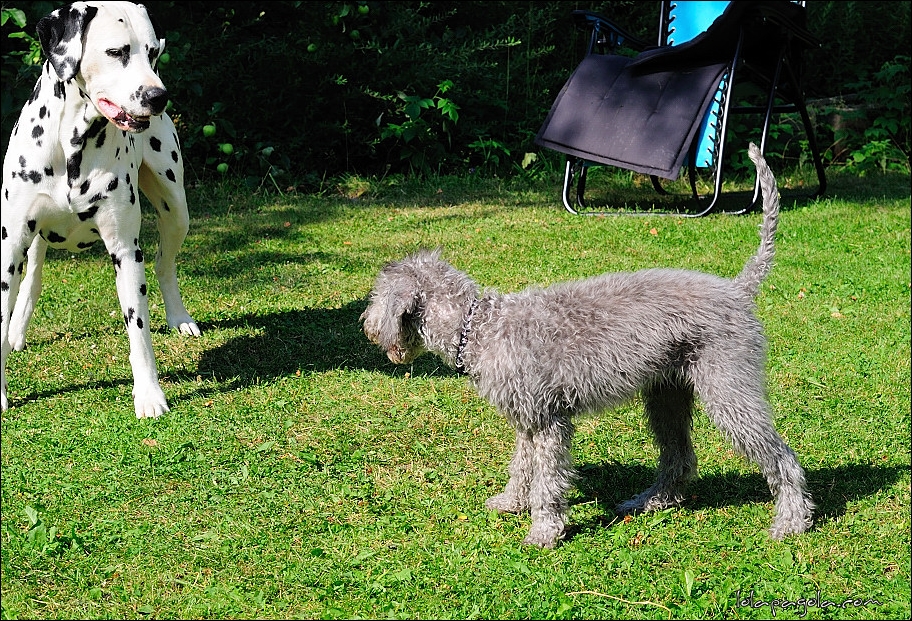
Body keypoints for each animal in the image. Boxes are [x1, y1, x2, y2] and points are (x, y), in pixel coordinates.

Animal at [0, 1, 200, 416]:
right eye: (116, 52)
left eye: (152, 53)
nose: (159, 97)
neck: (71, 147)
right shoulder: (8, 248)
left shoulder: (125, 251)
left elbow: (138, 330)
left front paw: (149, 395)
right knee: (33, 279)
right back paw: (18, 330)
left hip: (176, 211)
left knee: (164, 264)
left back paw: (179, 317)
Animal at [362, 143, 812, 544]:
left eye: (376, 294)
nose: (366, 325)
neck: (481, 326)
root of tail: (738, 289)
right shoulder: (528, 421)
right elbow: (521, 468)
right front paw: (510, 503)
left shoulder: (549, 424)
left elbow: (546, 483)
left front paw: (544, 532)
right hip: (667, 395)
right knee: (679, 458)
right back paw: (649, 501)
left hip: (728, 390)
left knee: (781, 457)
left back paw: (791, 523)